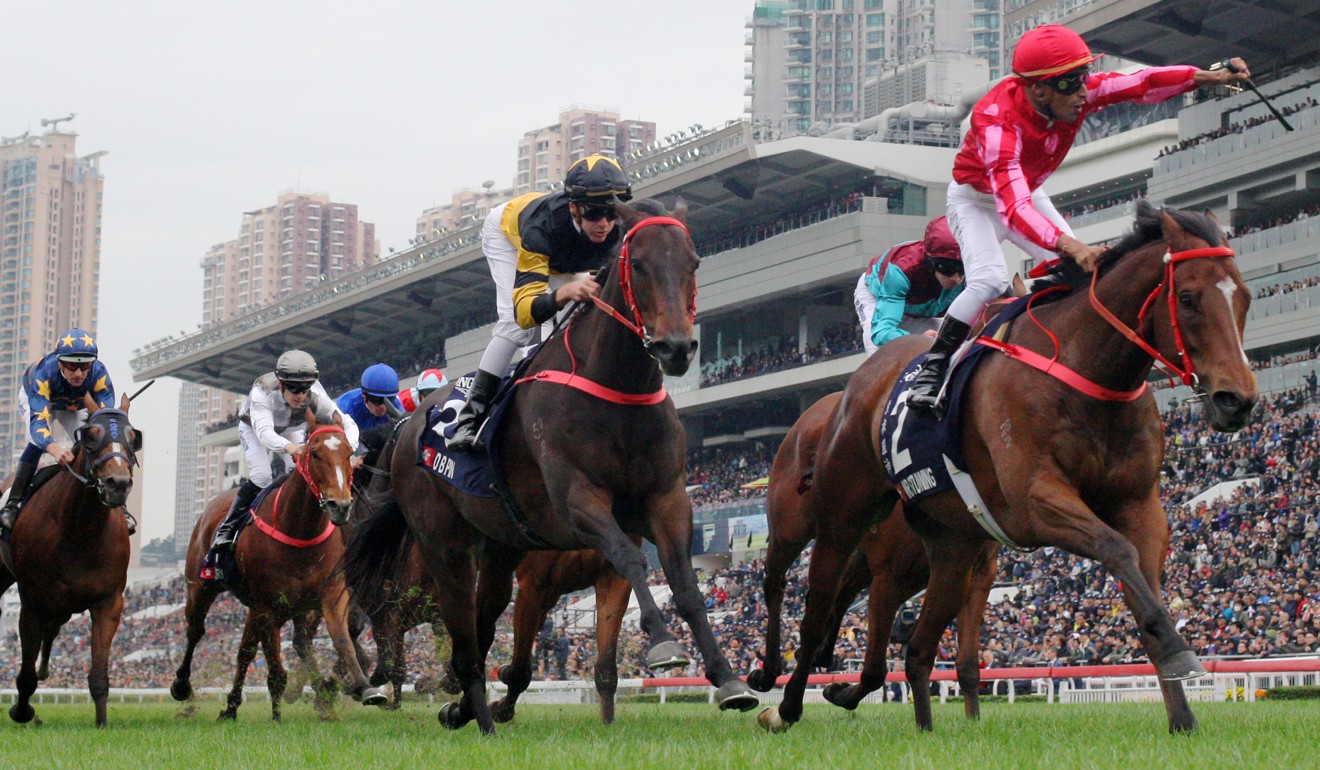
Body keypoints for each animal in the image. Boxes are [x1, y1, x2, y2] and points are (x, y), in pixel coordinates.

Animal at [0, 398, 137, 729]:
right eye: (91, 436)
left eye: (133, 436)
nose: (117, 484)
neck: (80, 531)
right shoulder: (31, 603)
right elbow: (24, 675)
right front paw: (22, 711)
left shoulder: (108, 602)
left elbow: (99, 674)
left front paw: (102, 723)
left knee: (52, 631)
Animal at [172, 412, 385, 718]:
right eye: (315, 453)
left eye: (348, 453)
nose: (341, 505)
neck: (299, 530)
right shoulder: (269, 604)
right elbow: (275, 663)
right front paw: (279, 713)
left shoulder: (332, 594)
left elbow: (343, 639)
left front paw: (364, 687)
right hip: (201, 586)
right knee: (196, 630)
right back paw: (183, 687)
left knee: (246, 650)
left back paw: (233, 706)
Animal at [345, 196, 760, 734]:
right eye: (639, 264)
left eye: (693, 262)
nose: (676, 347)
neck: (617, 390)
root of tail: (407, 428)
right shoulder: (575, 506)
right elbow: (631, 562)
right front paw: (664, 644)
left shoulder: (666, 501)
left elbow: (684, 584)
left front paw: (729, 680)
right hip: (444, 545)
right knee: (455, 638)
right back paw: (477, 718)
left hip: (500, 546)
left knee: (479, 626)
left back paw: (460, 707)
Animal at [749, 390, 992, 718]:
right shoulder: (891, 576)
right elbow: (876, 669)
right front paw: (840, 693)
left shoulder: (976, 573)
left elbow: (967, 664)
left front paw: (973, 719)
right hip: (791, 530)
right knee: (776, 584)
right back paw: (769, 671)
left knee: (838, 594)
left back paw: (816, 652)